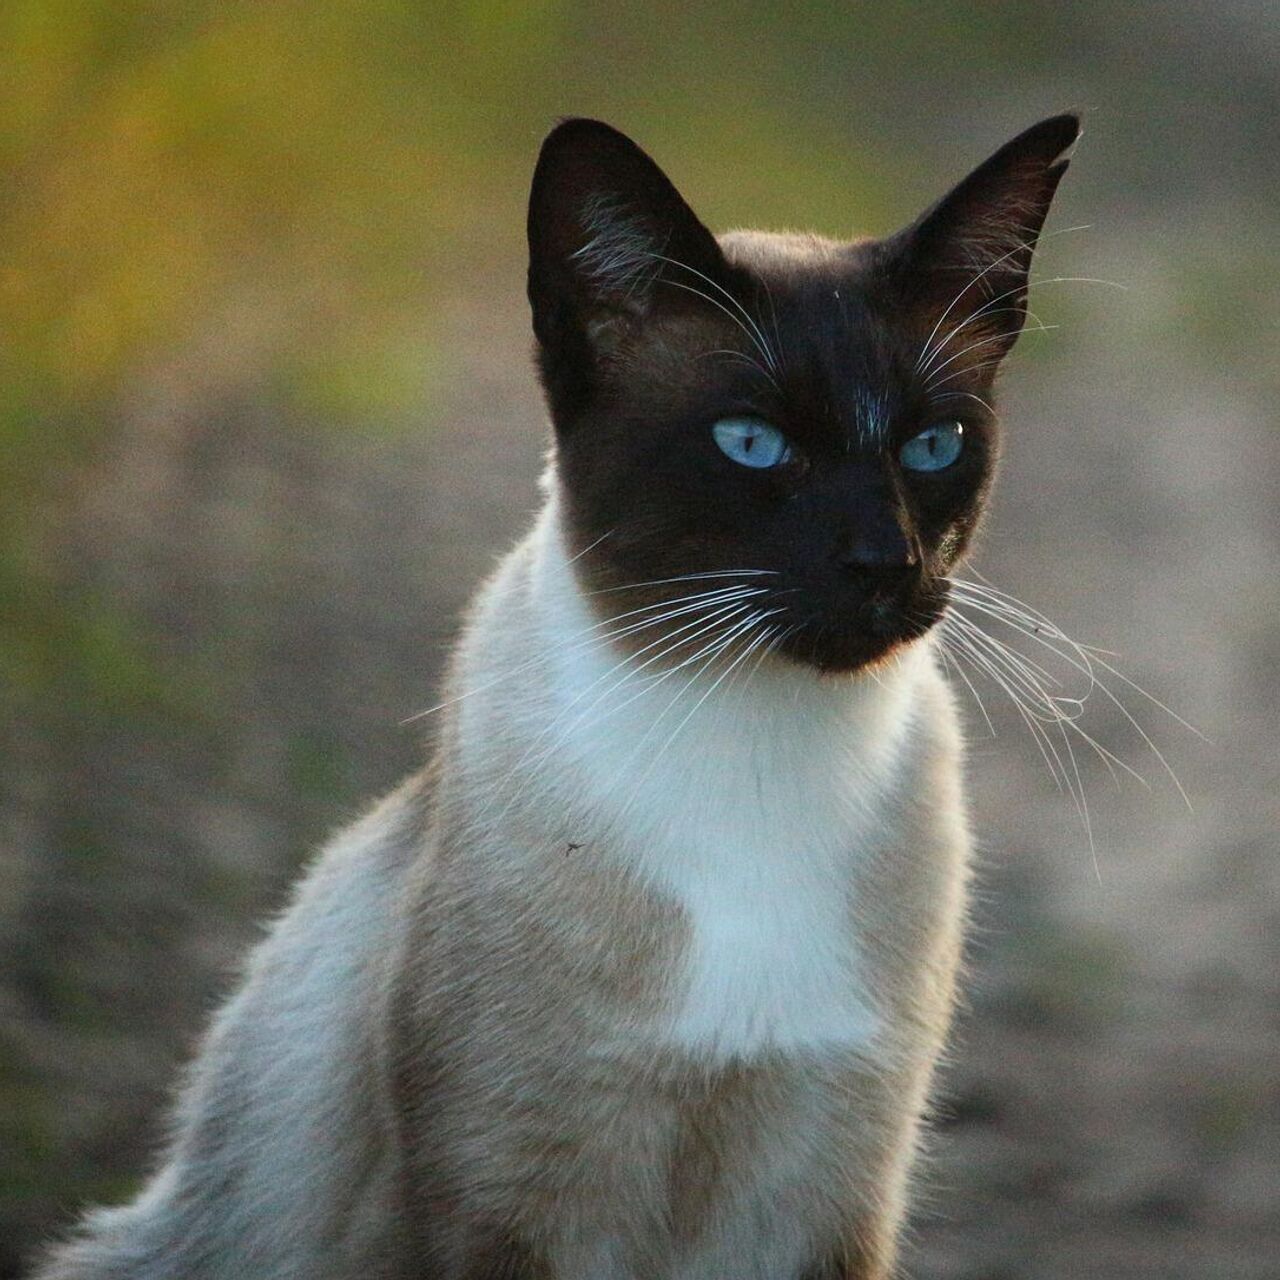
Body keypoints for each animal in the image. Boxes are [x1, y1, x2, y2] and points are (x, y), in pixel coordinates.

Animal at [35, 112, 1080, 1280]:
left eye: (932, 446)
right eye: (751, 444)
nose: (883, 562)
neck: (755, 752)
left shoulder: (828, 1208)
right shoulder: (504, 1205)